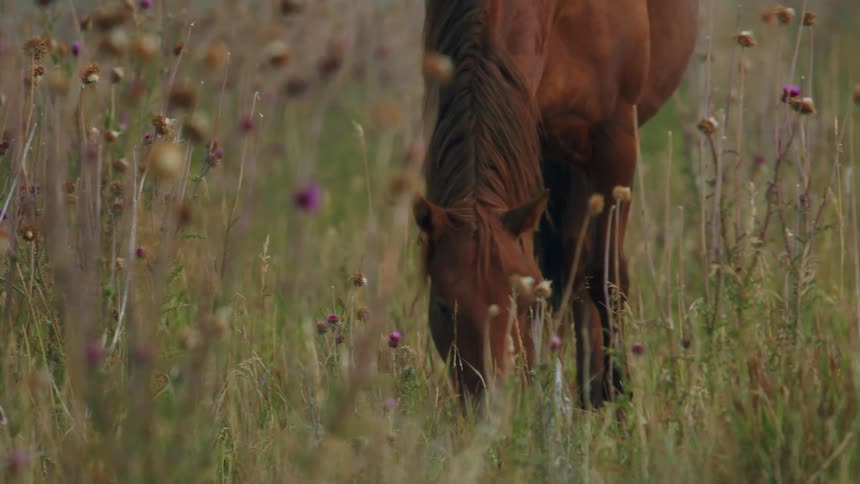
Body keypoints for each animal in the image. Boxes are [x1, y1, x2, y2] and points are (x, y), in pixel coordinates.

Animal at [414, 0, 698, 408]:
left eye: (527, 303)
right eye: (442, 307)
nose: (493, 404)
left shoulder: (614, 140)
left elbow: (608, 276)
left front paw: (620, 395)